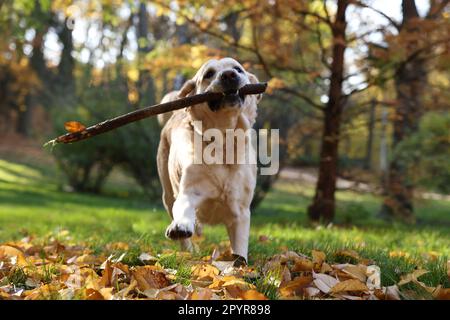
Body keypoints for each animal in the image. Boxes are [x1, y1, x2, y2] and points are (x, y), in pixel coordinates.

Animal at [157, 57, 262, 264]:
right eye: (209, 74)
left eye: (238, 69)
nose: (229, 75)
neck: (223, 142)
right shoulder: (190, 190)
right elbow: (184, 206)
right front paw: (180, 226)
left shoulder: (240, 211)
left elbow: (239, 245)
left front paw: (239, 265)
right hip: (167, 193)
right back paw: (187, 249)